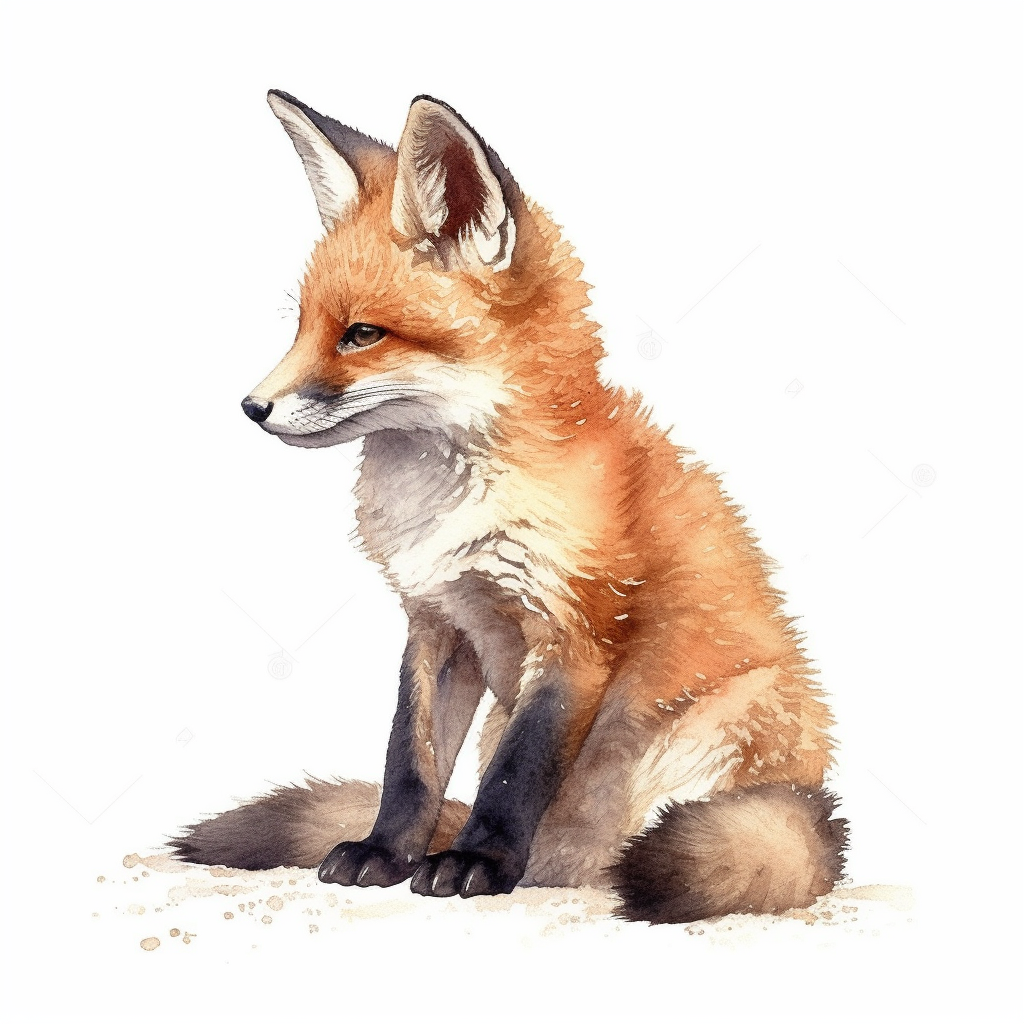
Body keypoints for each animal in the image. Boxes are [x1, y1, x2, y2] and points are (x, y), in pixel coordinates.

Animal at [171, 90, 848, 924]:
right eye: (302, 327)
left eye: (361, 334)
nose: (252, 407)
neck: (451, 509)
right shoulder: (437, 623)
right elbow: (410, 764)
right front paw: (386, 853)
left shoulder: (576, 632)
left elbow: (513, 776)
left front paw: (477, 861)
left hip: (710, 729)